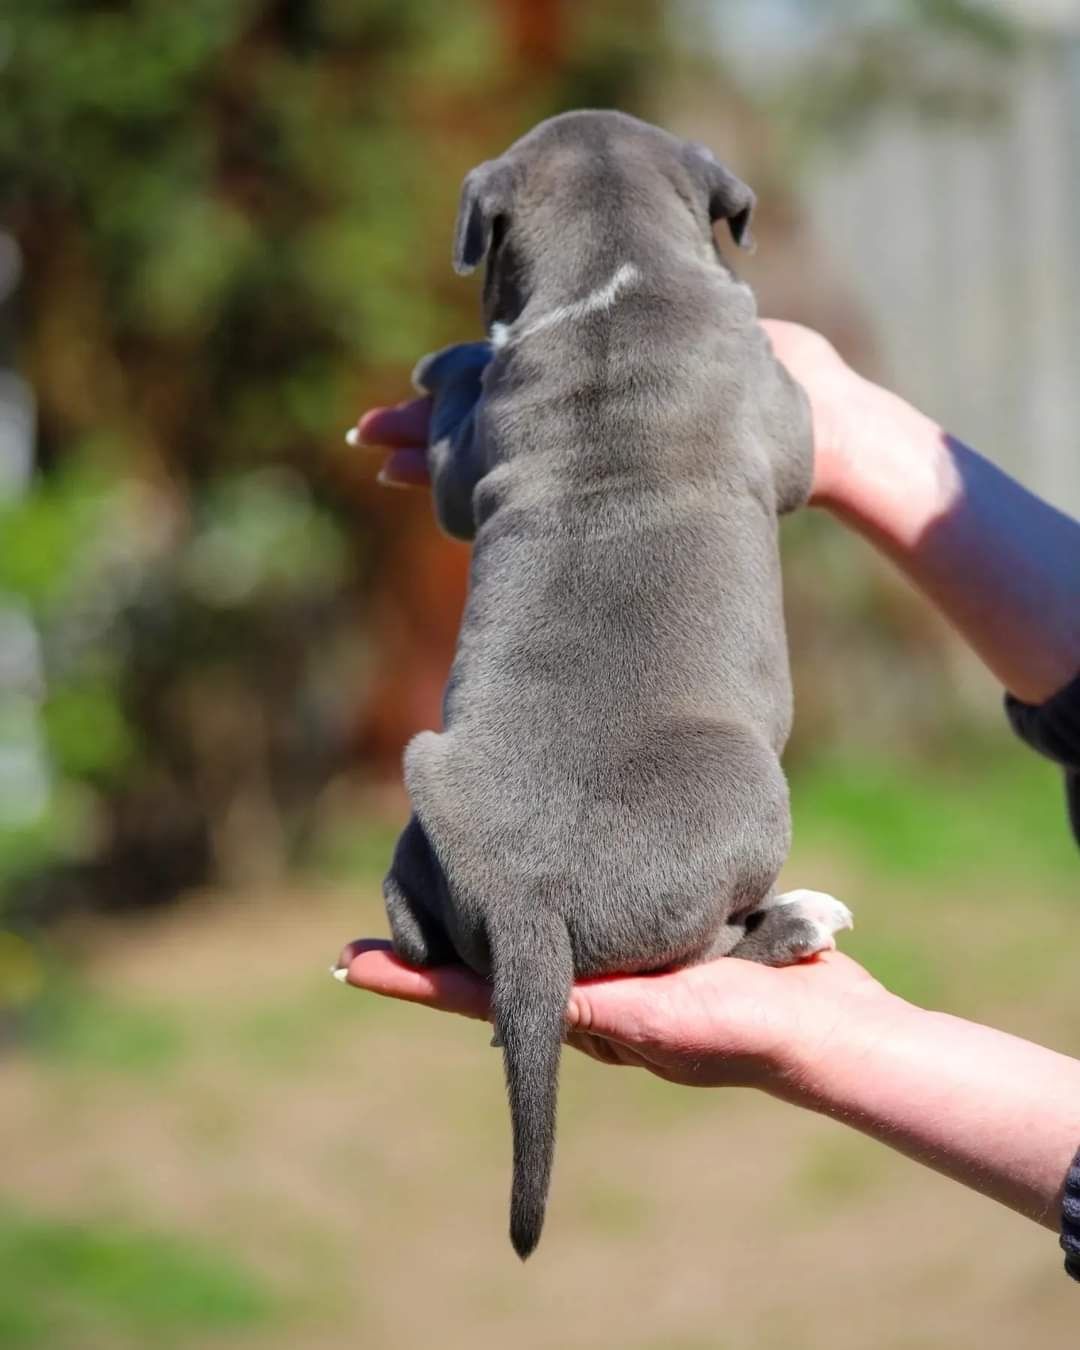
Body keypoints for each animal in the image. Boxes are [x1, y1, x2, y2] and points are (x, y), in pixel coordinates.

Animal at [380, 110, 853, 1258]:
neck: (614, 271)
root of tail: (523, 891)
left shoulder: (474, 456)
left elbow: (455, 447)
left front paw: (448, 360)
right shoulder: (778, 405)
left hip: (422, 803)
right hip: (747, 801)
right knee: (706, 950)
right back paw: (796, 922)